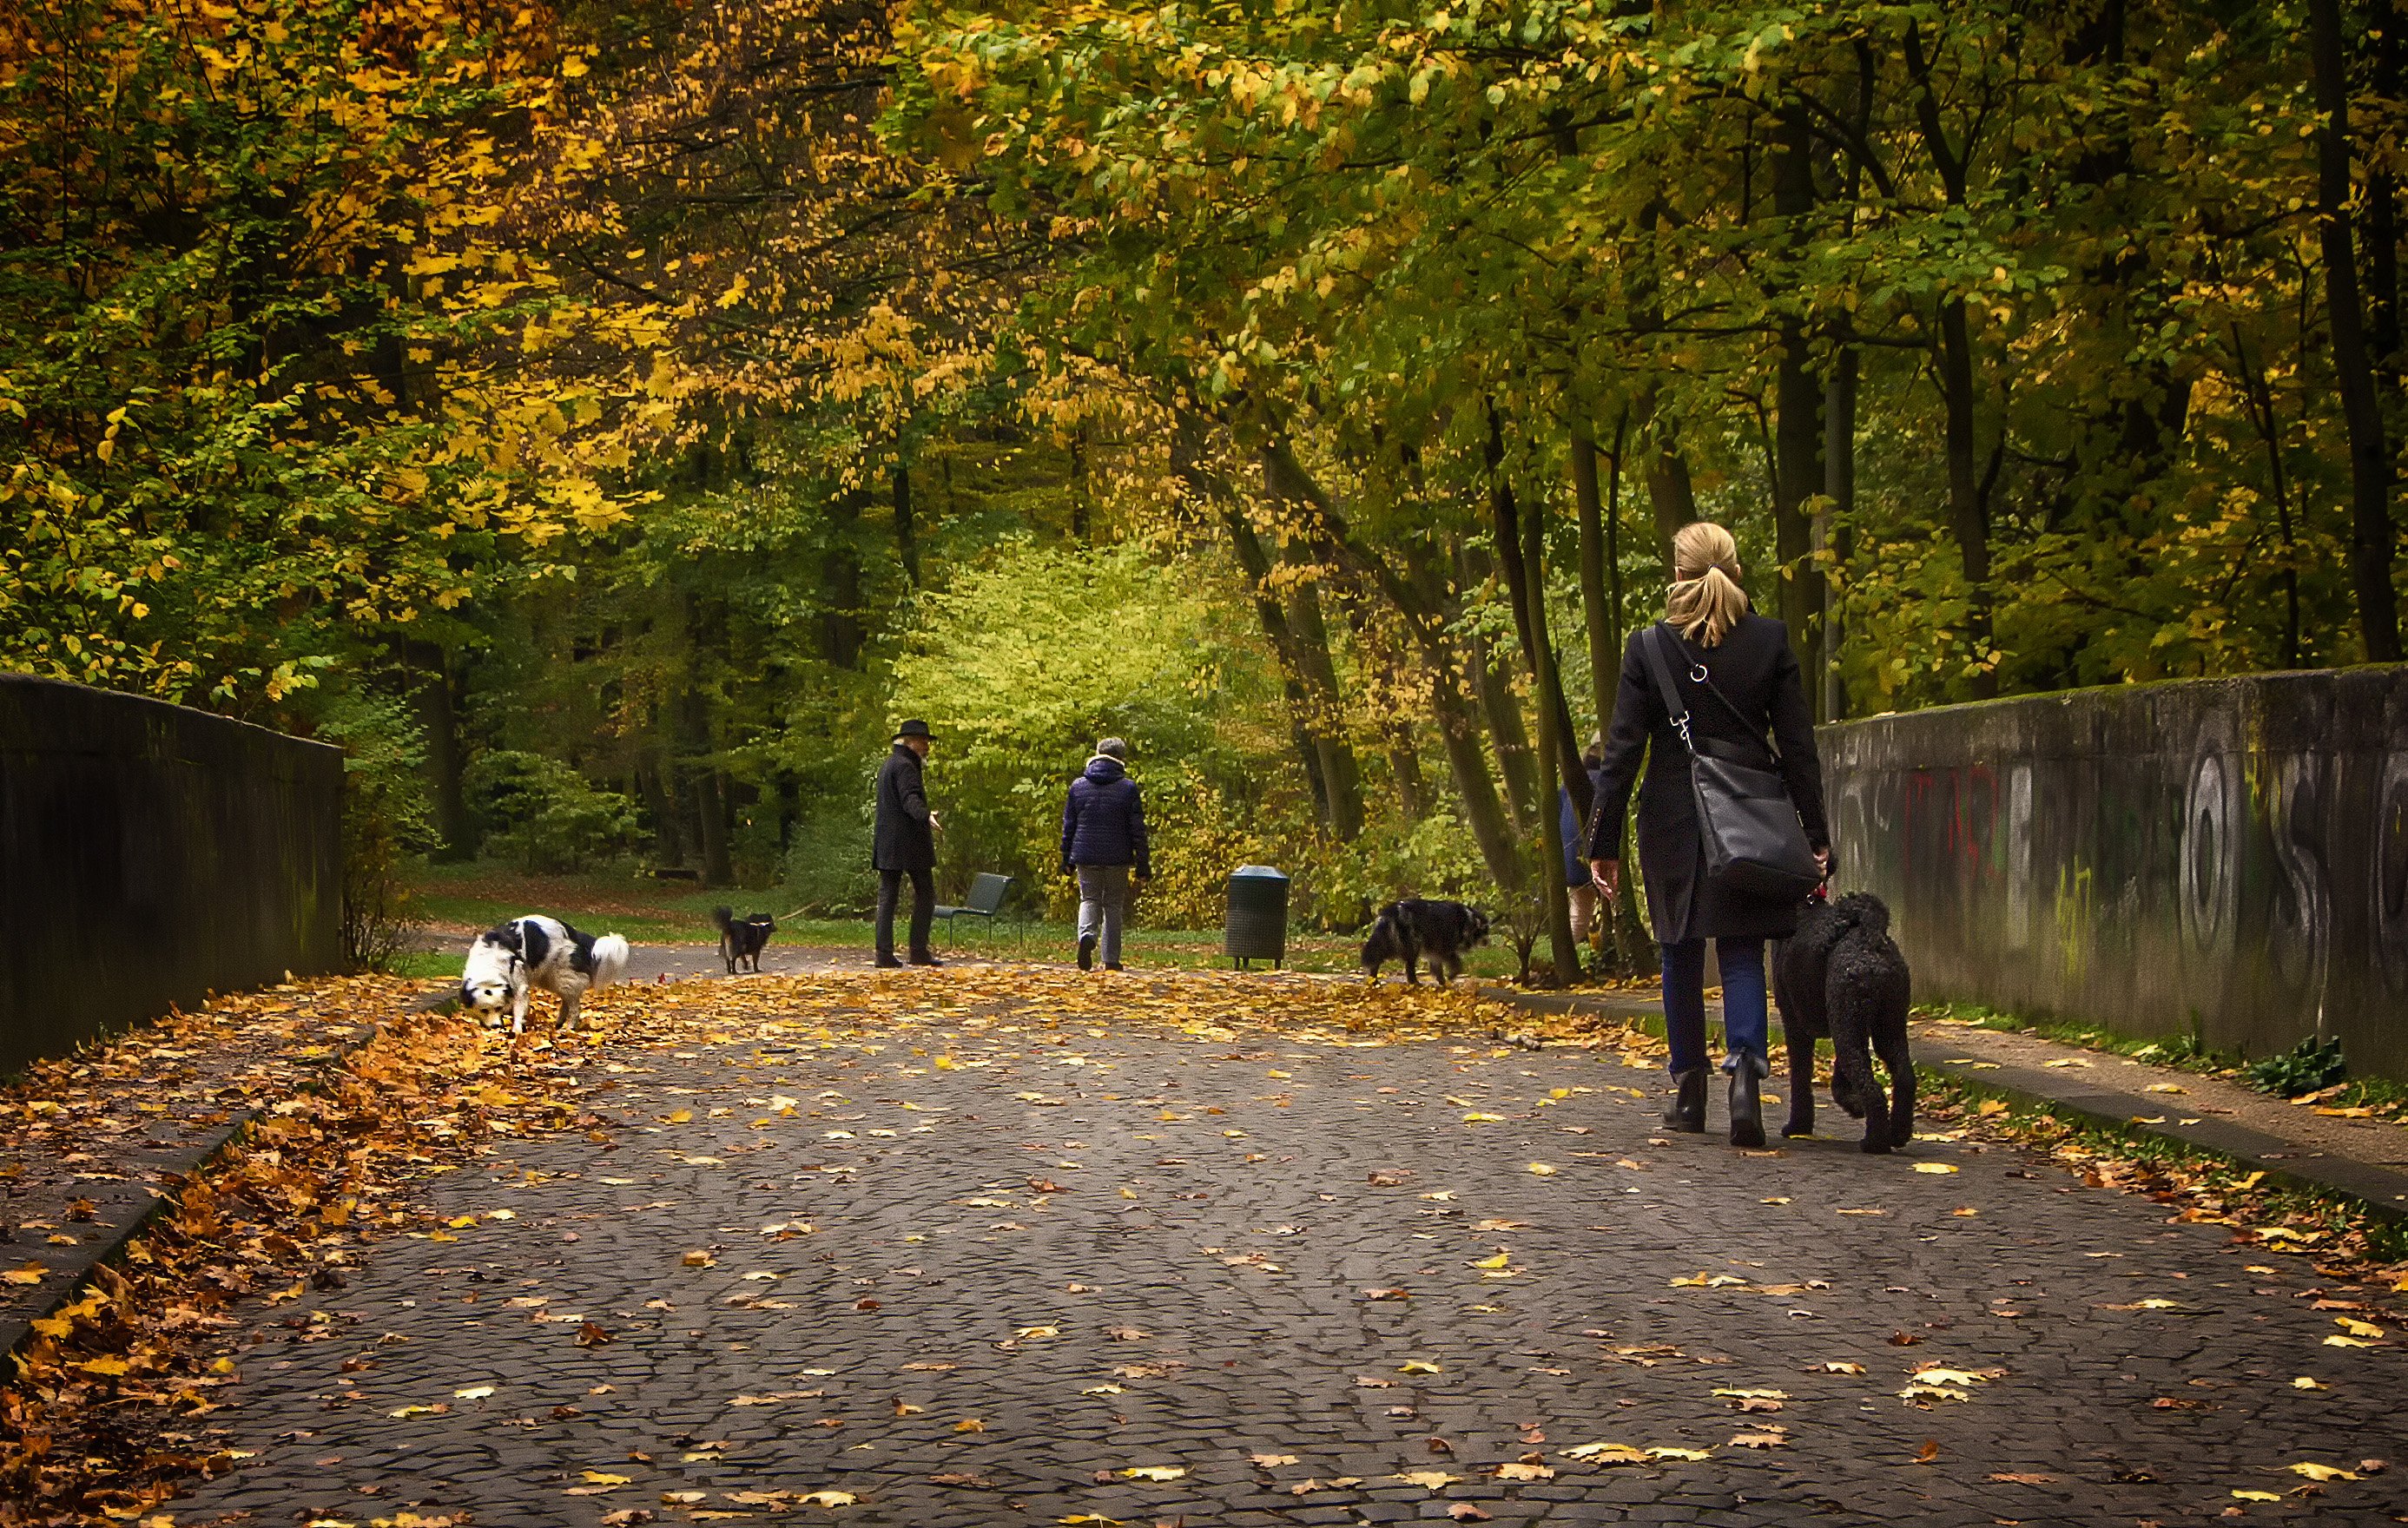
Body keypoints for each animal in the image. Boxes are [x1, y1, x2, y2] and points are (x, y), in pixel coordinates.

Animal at [459, 914, 630, 1034]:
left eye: (498, 1007)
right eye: (484, 1010)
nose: (496, 1026)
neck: (489, 964)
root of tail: (575, 934)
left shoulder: (520, 986)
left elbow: (518, 1010)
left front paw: (517, 1030)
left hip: (562, 976)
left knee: (575, 1006)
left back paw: (569, 1028)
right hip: (550, 978)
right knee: (566, 1000)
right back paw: (559, 1023)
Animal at [1357, 895, 1483, 991]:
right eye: (1484, 930)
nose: (1486, 943)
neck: (1466, 919)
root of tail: (1391, 911)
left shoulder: (1435, 951)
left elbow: (1438, 967)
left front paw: (1443, 981)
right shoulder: (1444, 948)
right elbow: (1456, 964)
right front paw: (1450, 977)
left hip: (1391, 943)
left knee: (1378, 959)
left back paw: (1374, 980)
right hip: (1407, 945)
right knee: (1408, 966)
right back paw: (1413, 982)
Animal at [1771, 890, 1917, 1155]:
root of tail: (1870, 945)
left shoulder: (1795, 1024)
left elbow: (1800, 1076)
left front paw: (1798, 1126)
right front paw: (1852, 1102)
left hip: (1849, 1020)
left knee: (1873, 1089)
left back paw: (1875, 1143)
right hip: (1885, 1025)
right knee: (1904, 1077)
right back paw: (1898, 1134)